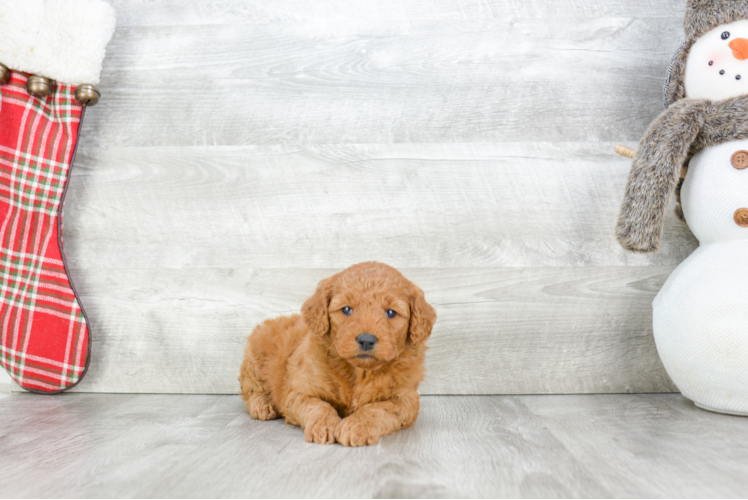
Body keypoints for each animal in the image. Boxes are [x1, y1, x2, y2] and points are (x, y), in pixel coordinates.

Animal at [240, 262, 436, 446]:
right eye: (347, 309)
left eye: (390, 312)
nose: (366, 340)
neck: (359, 372)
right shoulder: (299, 392)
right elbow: (318, 406)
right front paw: (323, 426)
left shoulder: (406, 398)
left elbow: (377, 409)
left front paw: (356, 426)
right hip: (255, 356)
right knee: (251, 389)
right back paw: (263, 405)